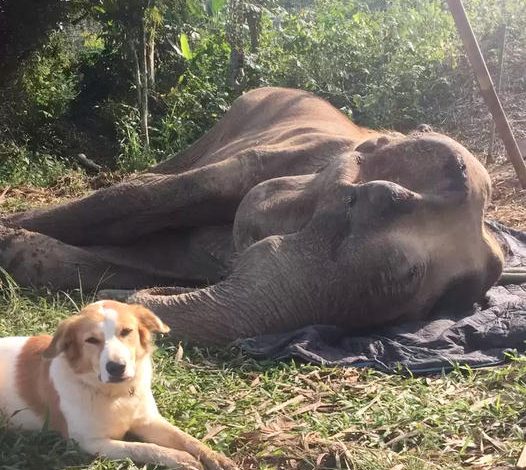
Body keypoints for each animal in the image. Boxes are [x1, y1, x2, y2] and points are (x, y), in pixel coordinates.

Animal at [0, 87, 512, 346]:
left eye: (432, 306)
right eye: (365, 203)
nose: (125, 306)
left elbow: (152, 256)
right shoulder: (272, 161)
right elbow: (137, 201)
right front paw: (10, 234)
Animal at [0, 302, 237, 470]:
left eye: (126, 332)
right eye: (91, 340)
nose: (116, 368)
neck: (117, 395)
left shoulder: (148, 420)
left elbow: (186, 439)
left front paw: (216, 458)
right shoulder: (90, 442)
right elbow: (142, 448)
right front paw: (180, 458)